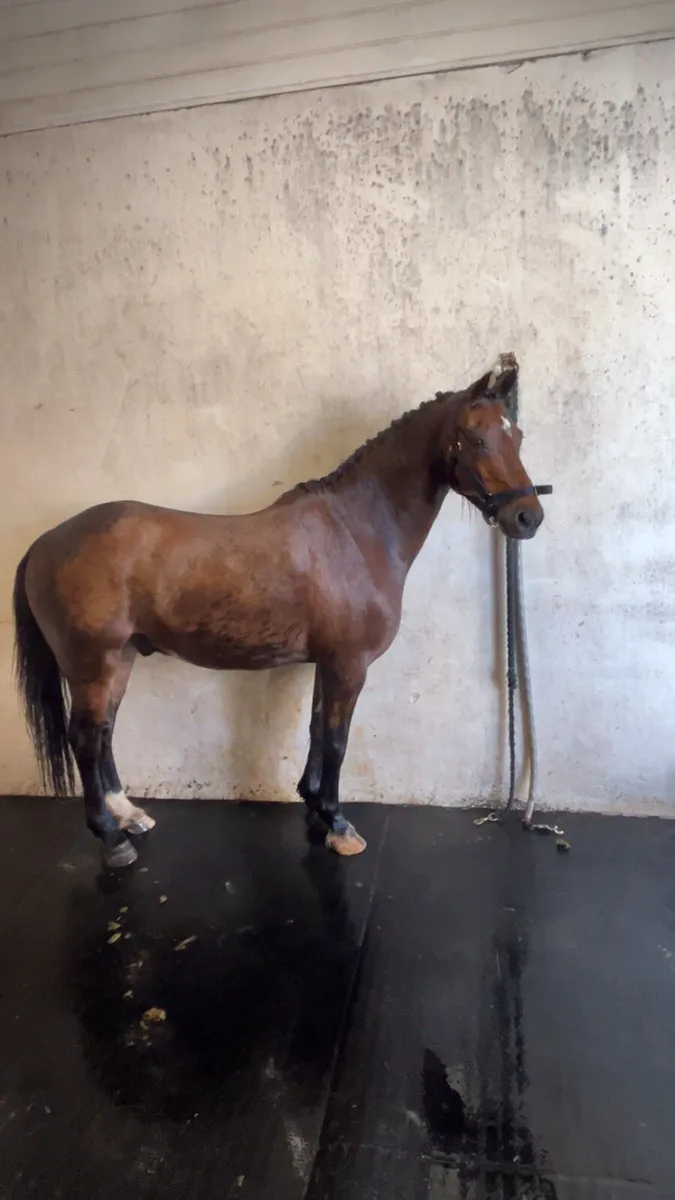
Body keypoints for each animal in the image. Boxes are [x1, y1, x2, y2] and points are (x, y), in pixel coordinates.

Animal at [13, 353, 546, 870]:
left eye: (517, 435)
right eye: (476, 437)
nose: (527, 518)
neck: (357, 530)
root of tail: (44, 543)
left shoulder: (327, 664)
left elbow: (316, 731)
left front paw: (314, 809)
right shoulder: (348, 666)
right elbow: (336, 741)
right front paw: (337, 824)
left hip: (120, 659)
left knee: (103, 732)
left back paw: (129, 815)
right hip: (93, 665)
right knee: (85, 738)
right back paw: (110, 838)